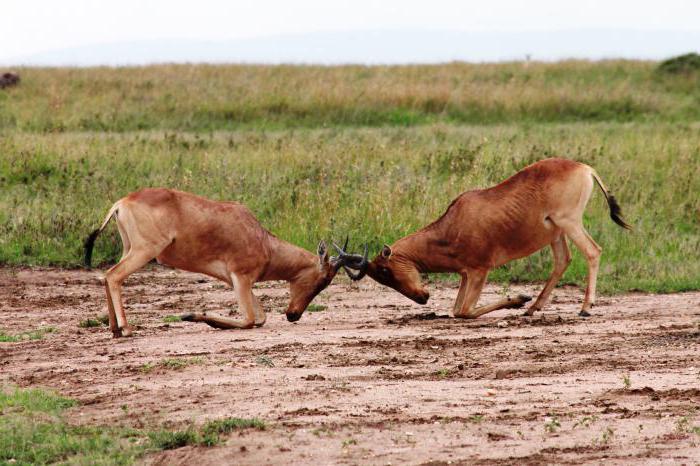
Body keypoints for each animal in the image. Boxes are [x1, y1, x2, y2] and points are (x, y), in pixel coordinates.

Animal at [85, 187, 364, 336]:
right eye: (322, 280)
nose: (293, 315)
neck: (261, 238)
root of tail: (121, 203)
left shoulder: (235, 281)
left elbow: (260, 318)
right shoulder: (241, 278)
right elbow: (250, 320)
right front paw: (191, 315)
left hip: (129, 248)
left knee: (107, 276)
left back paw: (114, 329)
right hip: (144, 250)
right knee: (114, 276)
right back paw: (126, 328)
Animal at [344, 158, 636, 318]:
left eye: (385, 270)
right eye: (380, 277)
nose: (422, 297)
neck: (454, 222)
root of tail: (585, 168)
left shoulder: (479, 270)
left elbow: (463, 312)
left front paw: (518, 298)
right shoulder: (466, 274)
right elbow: (456, 310)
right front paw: (522, 300)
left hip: (569, 222)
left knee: (593, 251)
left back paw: (584, 308)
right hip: (556, 232)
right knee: (563, 260)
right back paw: (533, 308)